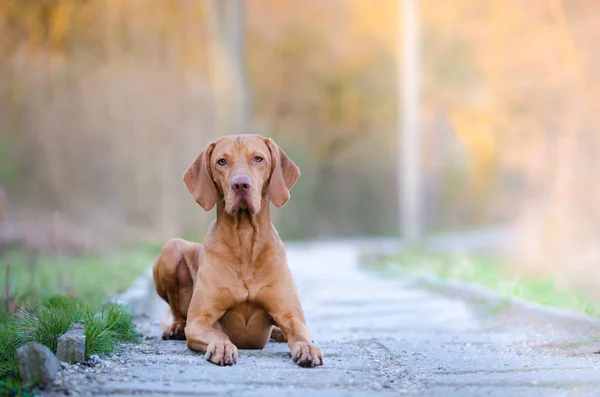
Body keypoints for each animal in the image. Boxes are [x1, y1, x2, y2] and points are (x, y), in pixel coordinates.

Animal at [154, 135, 324, 366]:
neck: (244, 240)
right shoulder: (199, 321)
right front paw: (223, 347)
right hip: (171, 248)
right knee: (178, 314)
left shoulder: (291, 316)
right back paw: (177, 328)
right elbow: (217, 333)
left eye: (258, 158)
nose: (241, 184)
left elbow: (301, 334)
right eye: (222, 161)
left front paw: (308, 348)